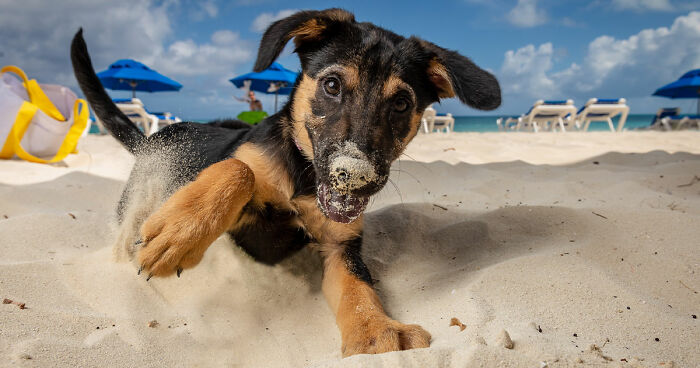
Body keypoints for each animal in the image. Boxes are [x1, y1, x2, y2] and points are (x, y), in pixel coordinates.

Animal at [69, 8, 498, 356]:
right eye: (331, 85)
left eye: (402, 104)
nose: (354, 176)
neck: (303, 179)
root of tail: (149, 141)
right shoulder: (241, 198)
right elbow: (238, 169)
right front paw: (179, 235)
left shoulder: (340, 246)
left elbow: (358, 288)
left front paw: (376, 332)